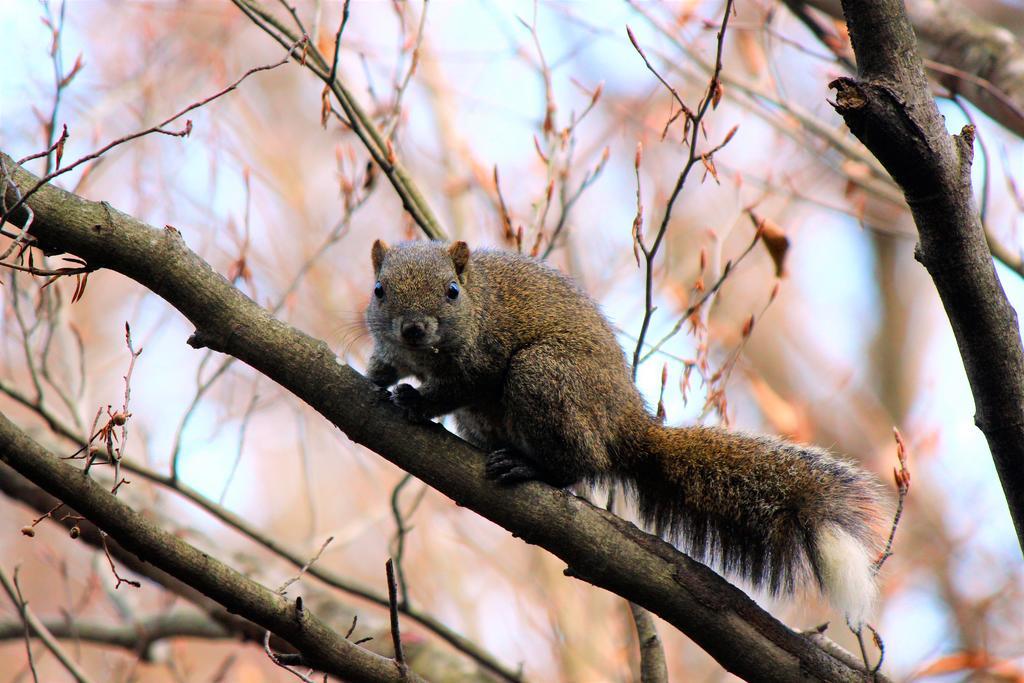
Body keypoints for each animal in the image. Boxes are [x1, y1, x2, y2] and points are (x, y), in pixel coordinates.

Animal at [364, 239, 884, 626]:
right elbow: (386, 364)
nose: (413, 328)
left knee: (581, 463)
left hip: (544, 377)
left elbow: (462, 386)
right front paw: (374, 377)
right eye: (379, 289)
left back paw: (529, 466)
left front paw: (416, 401)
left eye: (452, 291)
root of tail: (626, 424)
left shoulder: (482, 357)